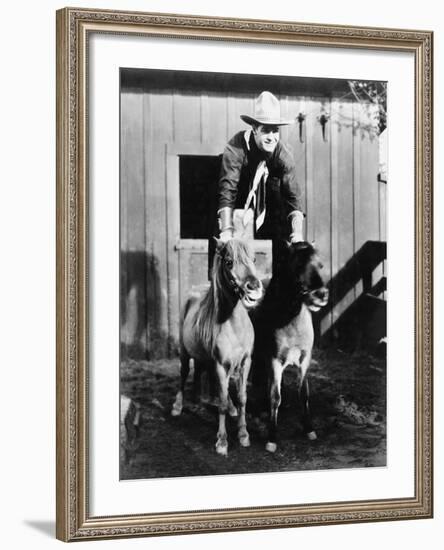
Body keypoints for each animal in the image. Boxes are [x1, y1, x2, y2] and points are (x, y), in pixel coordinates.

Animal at [169, 237, 260, 458]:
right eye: (229, 262)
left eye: (254, 258)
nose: (254, 288)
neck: (234, 324)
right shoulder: (220, 364)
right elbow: (221, 404)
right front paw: (222, 442)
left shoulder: (245, 363)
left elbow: (242, 398)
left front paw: (243, 435)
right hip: (185, 354)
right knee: (183, 375)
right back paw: (177, 407)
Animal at [251, 244, 328, 454]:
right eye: (299, 265)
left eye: (321, 265)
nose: (321, 294)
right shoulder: (274, 360)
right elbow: (275, 396)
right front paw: (272, 438)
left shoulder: (304, 360)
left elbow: (304, 394)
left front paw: (309, 429)